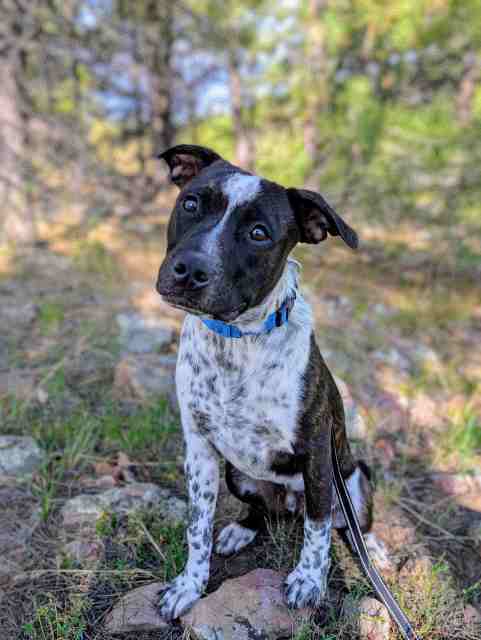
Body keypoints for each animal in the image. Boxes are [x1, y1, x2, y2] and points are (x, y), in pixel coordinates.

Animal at [156, 144, 374, 620]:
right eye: (191, 204)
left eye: (259, 233)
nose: (190, 270)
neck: (237, 341)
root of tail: (288, 502)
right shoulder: (199, 450)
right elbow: (197, 527)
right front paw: (189, 586)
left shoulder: (316, 451)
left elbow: (318, 528)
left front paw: (309, 580)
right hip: (239, 475)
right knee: (262, 512)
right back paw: (242, 529)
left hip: (354, 481)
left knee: (347, 526)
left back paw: (374, 549)